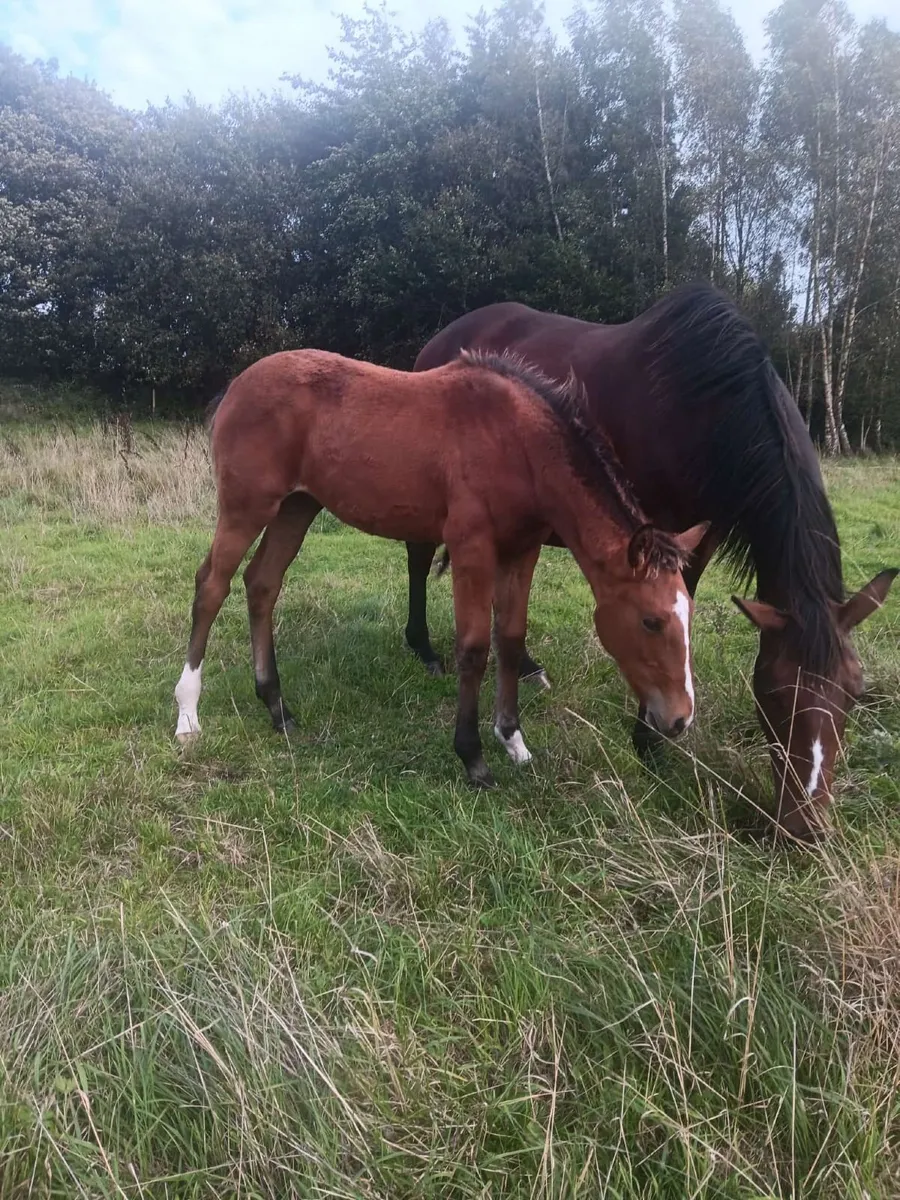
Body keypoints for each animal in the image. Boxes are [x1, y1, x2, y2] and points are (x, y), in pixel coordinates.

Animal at [173, 347, 708, 788]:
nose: (680, 719)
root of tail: (235, 386)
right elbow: (473, 648)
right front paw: (473, 758)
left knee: (262, 583)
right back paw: (188, 712)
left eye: (688, 616)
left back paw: (276, 706)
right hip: (247, 507)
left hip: (296, 507)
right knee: (212, 586)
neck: (518, 443)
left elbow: (510, 639)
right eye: (651, 621)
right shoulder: (472, 548)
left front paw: (513, 740)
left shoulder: (522, 552)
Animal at [406, 284, 897, 838]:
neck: (704, 404)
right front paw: (648, 738)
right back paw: (422, 647)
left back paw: (528, 667)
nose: (803, 829)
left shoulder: (700, 534)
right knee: (418, 562)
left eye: (854, 692)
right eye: (772, 692)